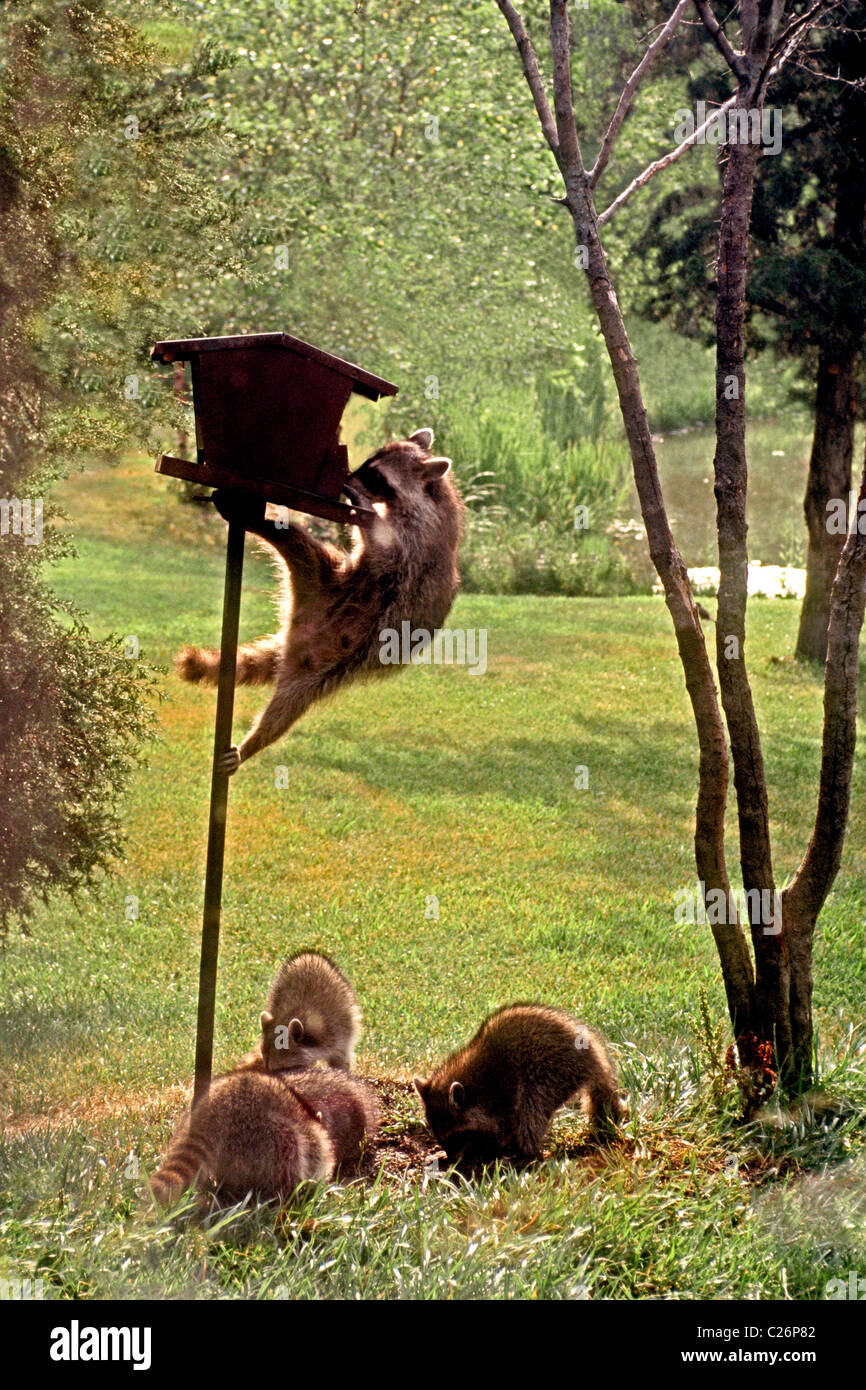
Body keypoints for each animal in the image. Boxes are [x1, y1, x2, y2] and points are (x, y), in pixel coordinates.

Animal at [175, 428, 464, 772]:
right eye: (369, 461)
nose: (347, 479)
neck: (431, 494)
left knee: (285, 711)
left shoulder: (416, 540)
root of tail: (297, 636)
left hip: (323, 671)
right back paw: (254, 519)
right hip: (321, 581)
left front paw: (363, 505)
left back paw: (254, 742)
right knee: (295, 542)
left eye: (376, 476)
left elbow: (383, 544)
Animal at [414, 1004, 622, 1163]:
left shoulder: (500, 1094)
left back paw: (525, 1153)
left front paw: (488, 1149)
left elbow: (504, 1126)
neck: (473, 1085)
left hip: (550, 1070)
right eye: (439, 1136)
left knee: (532, 1108)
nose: (453, 1159)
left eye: (454, 1136)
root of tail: (592, 1055)